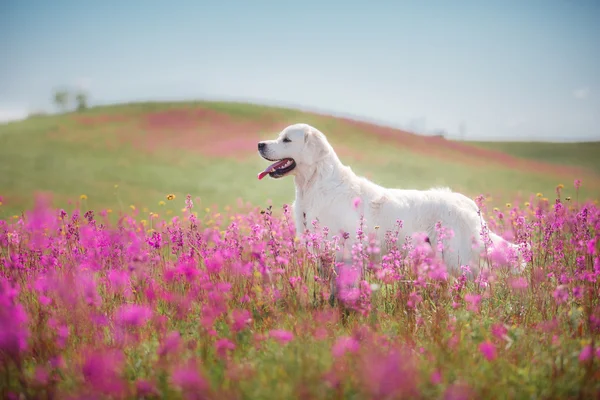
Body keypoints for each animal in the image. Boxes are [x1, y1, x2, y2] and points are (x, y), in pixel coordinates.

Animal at [258, 123, 524, 276]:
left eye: (287, 140)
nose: (260, 143)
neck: (313, 184)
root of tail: (468, 202)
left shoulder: (343, 249)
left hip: (458, 258)